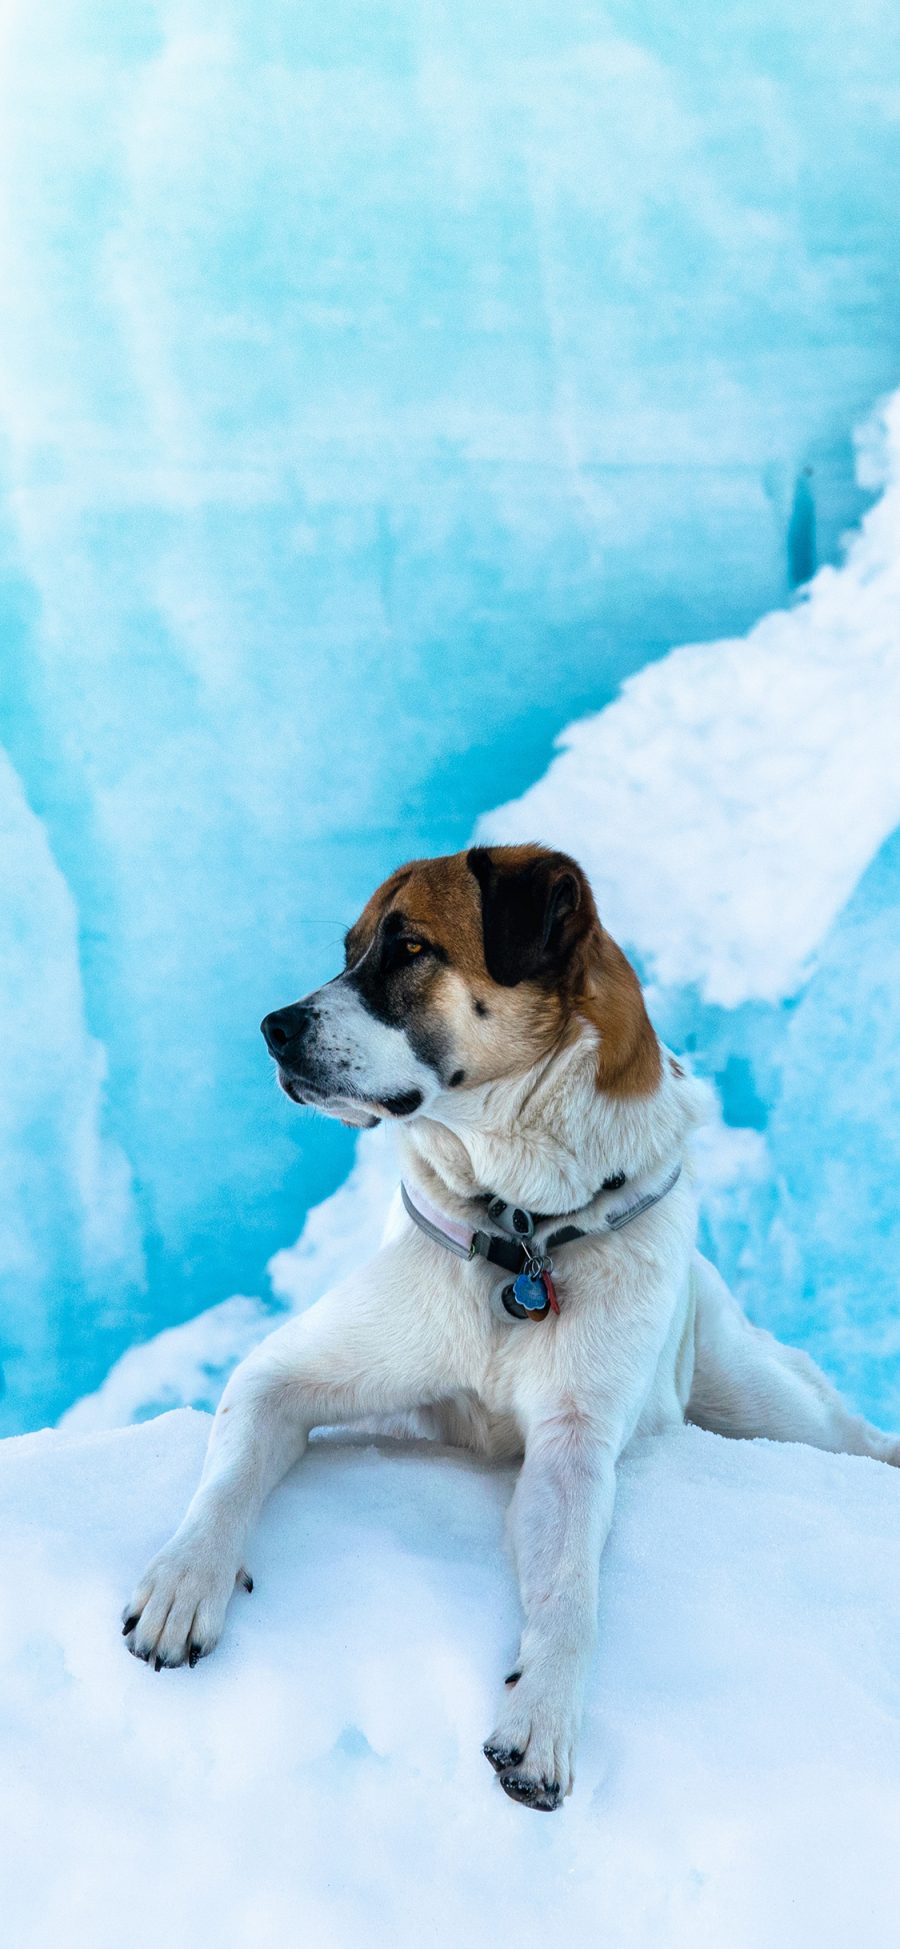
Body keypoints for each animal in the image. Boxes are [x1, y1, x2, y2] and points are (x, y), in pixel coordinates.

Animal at [121, 849, 900, 1808]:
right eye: (348, 949)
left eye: (411, 948)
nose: (271, 1027)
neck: (519, 1227)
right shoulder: (285, 1372)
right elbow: (229, 1477)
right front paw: (182, 1583)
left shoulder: (573, 1443)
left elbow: (569, 1593)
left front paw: (542, 1722)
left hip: (762, 1399)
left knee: (844, 1431)